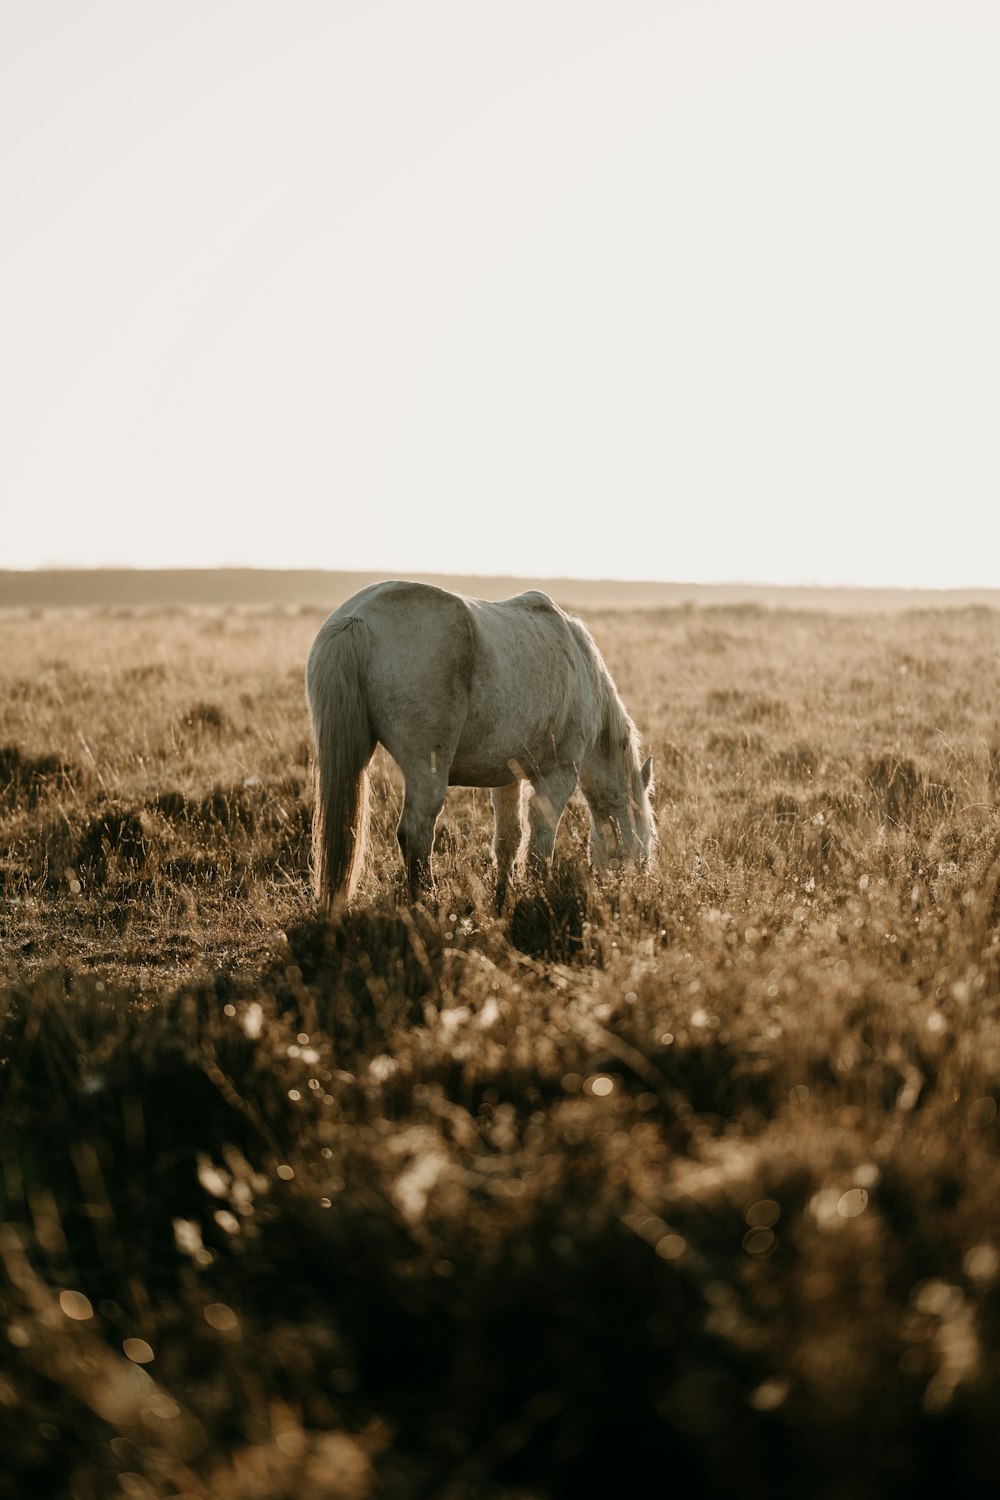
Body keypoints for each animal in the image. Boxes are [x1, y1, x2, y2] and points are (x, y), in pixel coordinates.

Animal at [305, 582, 656, 906]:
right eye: (649, 832)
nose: (642, 886)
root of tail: (356, 618)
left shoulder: (508, 777)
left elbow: (509, 837)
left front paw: (504, 891)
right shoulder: (557, 776)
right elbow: (540, 843)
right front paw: (538, 894)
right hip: (426, 769)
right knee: (416, 831)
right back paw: (426, 899)